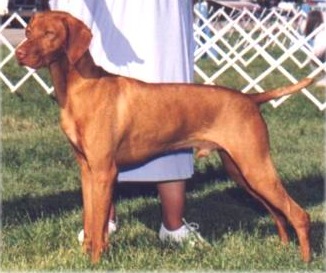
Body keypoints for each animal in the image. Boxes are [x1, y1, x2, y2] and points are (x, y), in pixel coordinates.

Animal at [15, 11, 314, 264]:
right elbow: (90, 221)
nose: (18, 53)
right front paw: (87, 254)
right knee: (278, 212)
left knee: (299, 213)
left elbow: (98, 224)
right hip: (240, 171)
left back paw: (305, 260)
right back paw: (283, 248)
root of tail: (251, 98)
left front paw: (96, 261)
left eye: (50, 34)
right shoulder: (87, 170)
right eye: (28, 31)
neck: (80, 88)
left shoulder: (104, 171)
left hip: (255, 166)